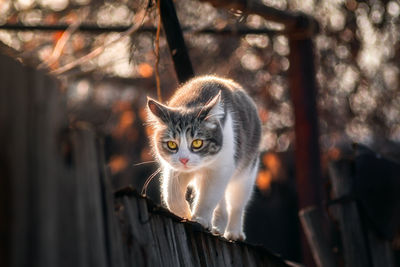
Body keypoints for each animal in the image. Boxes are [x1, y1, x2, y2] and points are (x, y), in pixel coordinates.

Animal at [145, 75, 260, 241]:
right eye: (172, 144)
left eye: (197, 143)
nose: (184, 160)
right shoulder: (173, 167)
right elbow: (171, 194)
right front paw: (184, 212)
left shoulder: (221, 167)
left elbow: (209, 196)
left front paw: (200, 218)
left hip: (247, 169)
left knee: (237, 202)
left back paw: (234, 232)